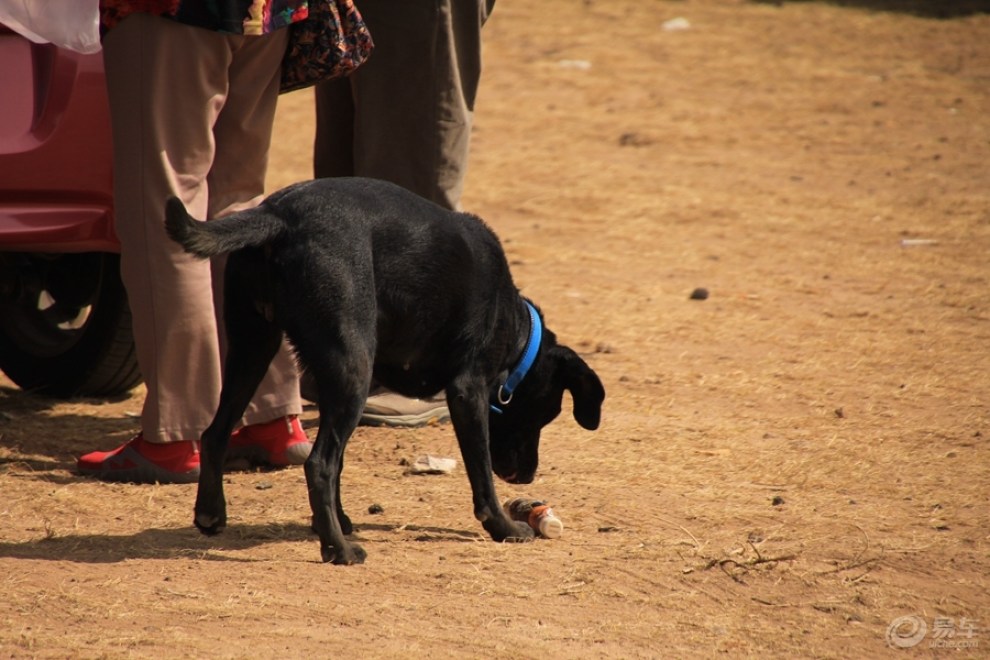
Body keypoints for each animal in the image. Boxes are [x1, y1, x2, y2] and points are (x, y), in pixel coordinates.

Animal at [163, 178, 604, 564]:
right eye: (547, 415)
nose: (527, 477)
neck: (515, 330)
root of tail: (277, 215)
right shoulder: (468, 392)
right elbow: (480, 474)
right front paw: (503, 526)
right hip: (352, 370)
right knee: (319, 465)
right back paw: (338, 550)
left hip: (253, 348)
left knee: (216, 432)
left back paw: (213, 513)